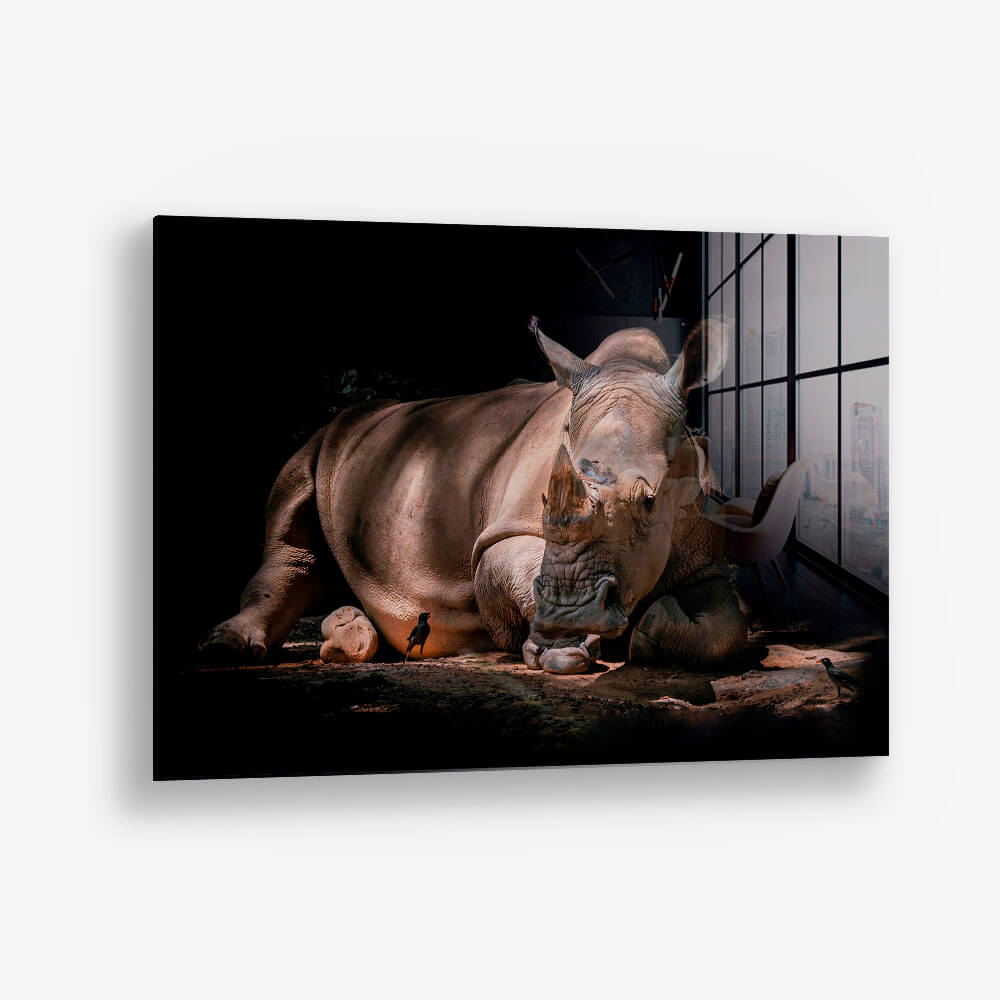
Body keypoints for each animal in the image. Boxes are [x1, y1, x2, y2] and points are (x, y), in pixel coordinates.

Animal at [201, 322, 749, 673]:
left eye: (650, 503)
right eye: (546, 501)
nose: (569, 615)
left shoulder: (703, 556)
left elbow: (728, 629)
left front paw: (651, 628)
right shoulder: (503, 535)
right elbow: (508, 565)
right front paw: (558, 651)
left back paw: (351, 636)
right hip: (324, 440)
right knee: (290, 538)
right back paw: (227, 649)